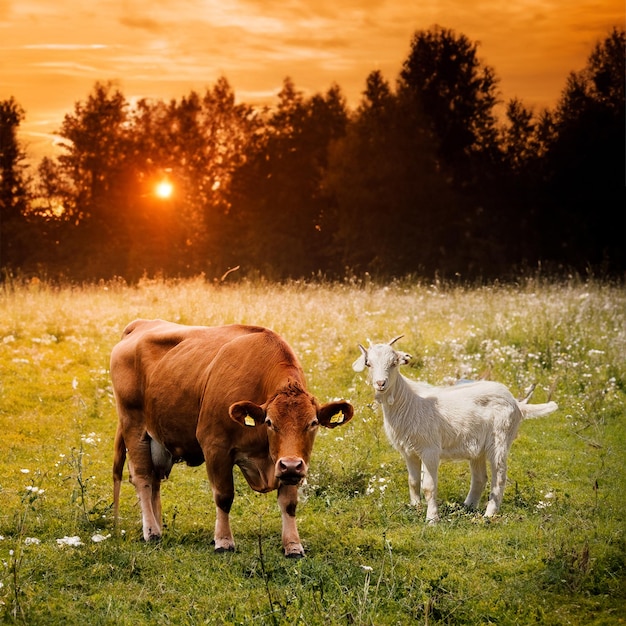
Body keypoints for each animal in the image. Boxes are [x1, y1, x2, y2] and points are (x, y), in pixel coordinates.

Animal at [110, 320, 354, 552]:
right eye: (269, 422)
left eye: (312, 423)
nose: (291, 465)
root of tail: (140, 324)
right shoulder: (215, 446)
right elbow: (224, 496)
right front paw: (224, 541)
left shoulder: (289, 465)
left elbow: (289, 503)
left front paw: (293, 545)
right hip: (134, 426)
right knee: (142, 477)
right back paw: (151, 532)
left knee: (154, 479)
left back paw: (158, 526)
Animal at [352, 334, 556, 520]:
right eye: (368, 364)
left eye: (394, 362)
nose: (380, 383)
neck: (409, 401)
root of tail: (517, 403)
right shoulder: (408, 451)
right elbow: (413, 481)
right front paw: (416, 507)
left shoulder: (430, 449)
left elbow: (428, 486)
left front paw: (432, 519)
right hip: (478, 448)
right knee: (480, 478)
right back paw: (467, 507)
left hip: (500, 439)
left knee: (499, 477)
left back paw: (489, 515)